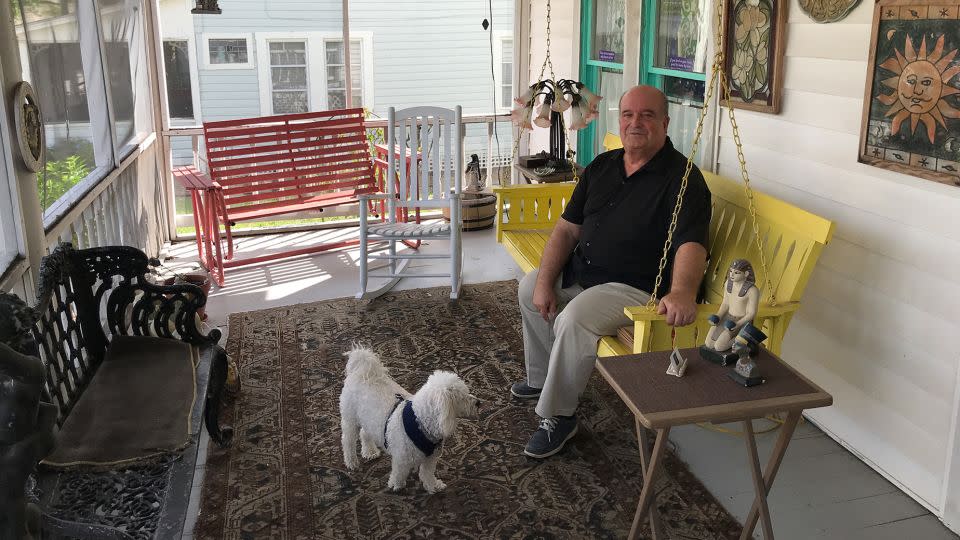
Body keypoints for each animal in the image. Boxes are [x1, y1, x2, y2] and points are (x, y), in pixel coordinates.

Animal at [342, 346, 484, 494]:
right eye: (461, 397)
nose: (478, 402)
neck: (420, 421)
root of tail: (362, 372)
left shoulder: (430, 458)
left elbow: (427, 474)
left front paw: (434, 486)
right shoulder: (401, 458)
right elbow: (399, 473)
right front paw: (396, 485)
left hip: (369, 419)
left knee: (365, 433)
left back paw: (370, 452)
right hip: (350, 419)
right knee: (347, 441)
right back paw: (351, 462)